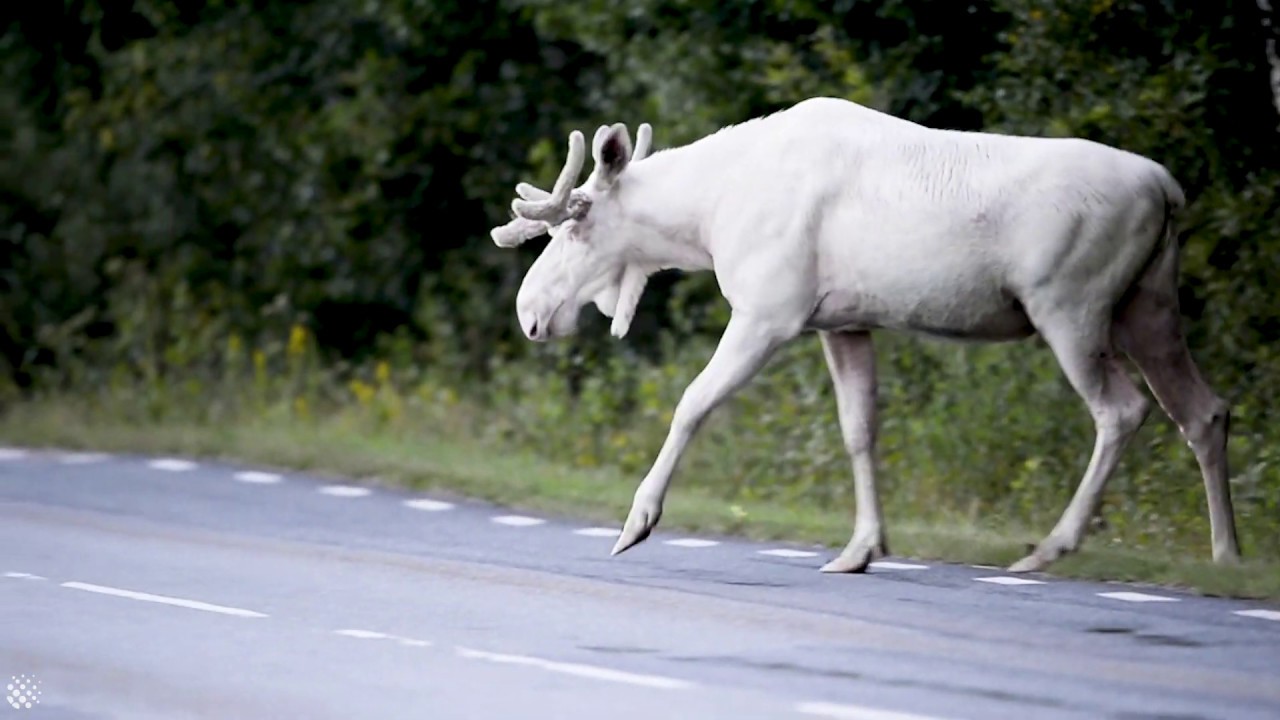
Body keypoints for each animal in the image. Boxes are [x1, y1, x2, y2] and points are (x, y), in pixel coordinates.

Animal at [486, 96, 1239, 571]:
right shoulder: (843, 322)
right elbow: (859, 429)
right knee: (1204, 410)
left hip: (1071, 306)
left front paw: (637, 522)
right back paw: (1226, 554)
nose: (529, 310)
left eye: (577, 221)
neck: (703, 218)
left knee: (1123, 410)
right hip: (1147, 305)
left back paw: (1051, 546)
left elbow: (692, 403)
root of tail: (1168, 189)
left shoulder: (769, 311)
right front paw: (862, 548)